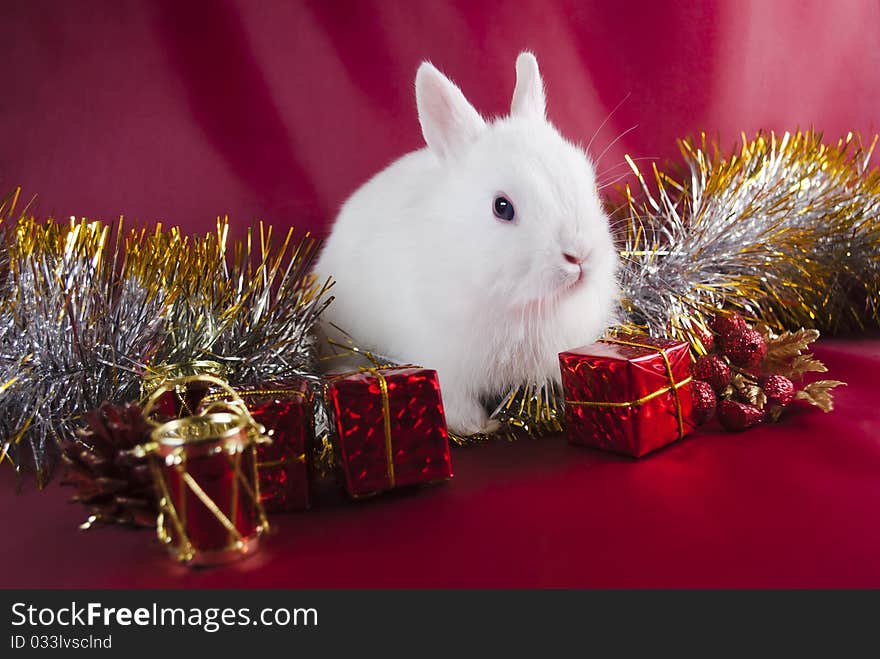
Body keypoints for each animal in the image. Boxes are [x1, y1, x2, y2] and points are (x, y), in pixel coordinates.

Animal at [316, 50, 620, 434]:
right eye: (502, 207)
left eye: (587, 180)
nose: (580, 256)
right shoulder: (446, 366)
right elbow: (457, 406)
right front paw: (481, 427)